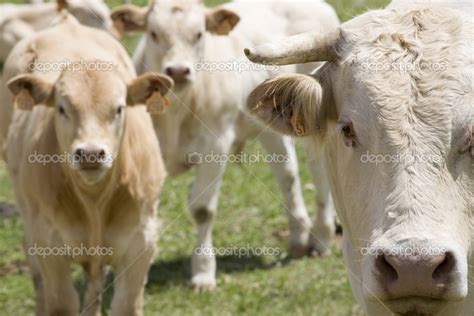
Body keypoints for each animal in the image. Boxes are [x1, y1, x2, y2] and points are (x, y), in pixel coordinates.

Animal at [0, 12, 172, 316]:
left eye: (119, 108)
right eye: (61, 108)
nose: (91, 153)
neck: (94, 202)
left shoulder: (141, 242)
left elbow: (126, 305)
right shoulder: (49, 245)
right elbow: (61, 303)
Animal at [110, 0, 340, 292]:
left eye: (199, 35)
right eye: (153, 34)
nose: (178, 71)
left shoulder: (215, 145)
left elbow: (202, 210)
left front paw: (203, 273)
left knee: (319, 174)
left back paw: (321, 237)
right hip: (271, 126)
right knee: (287, 174)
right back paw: (299, 236)